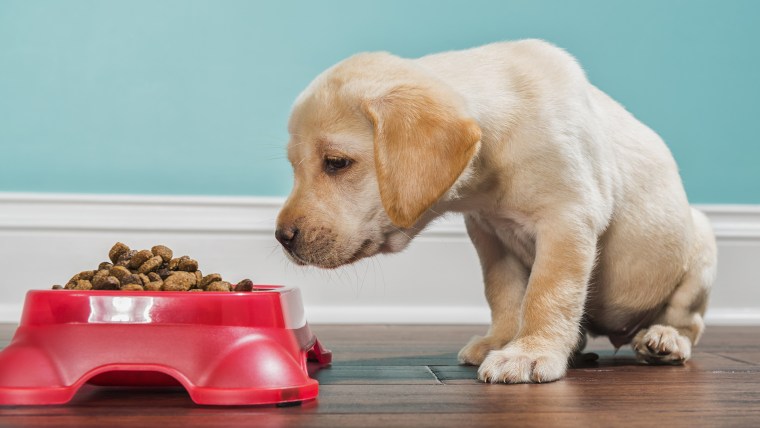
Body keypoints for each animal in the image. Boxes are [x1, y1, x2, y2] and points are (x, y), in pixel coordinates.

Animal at [276, 38, 716, 382]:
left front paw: (530, 352)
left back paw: (664, 339)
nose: (282, 237)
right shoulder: (490, 235)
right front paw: (502, 340)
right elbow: (505, 294)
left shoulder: (567, 219)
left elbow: (547, 294)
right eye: (294, 166)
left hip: (700, 252)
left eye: (336, 163)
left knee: (688, 320)